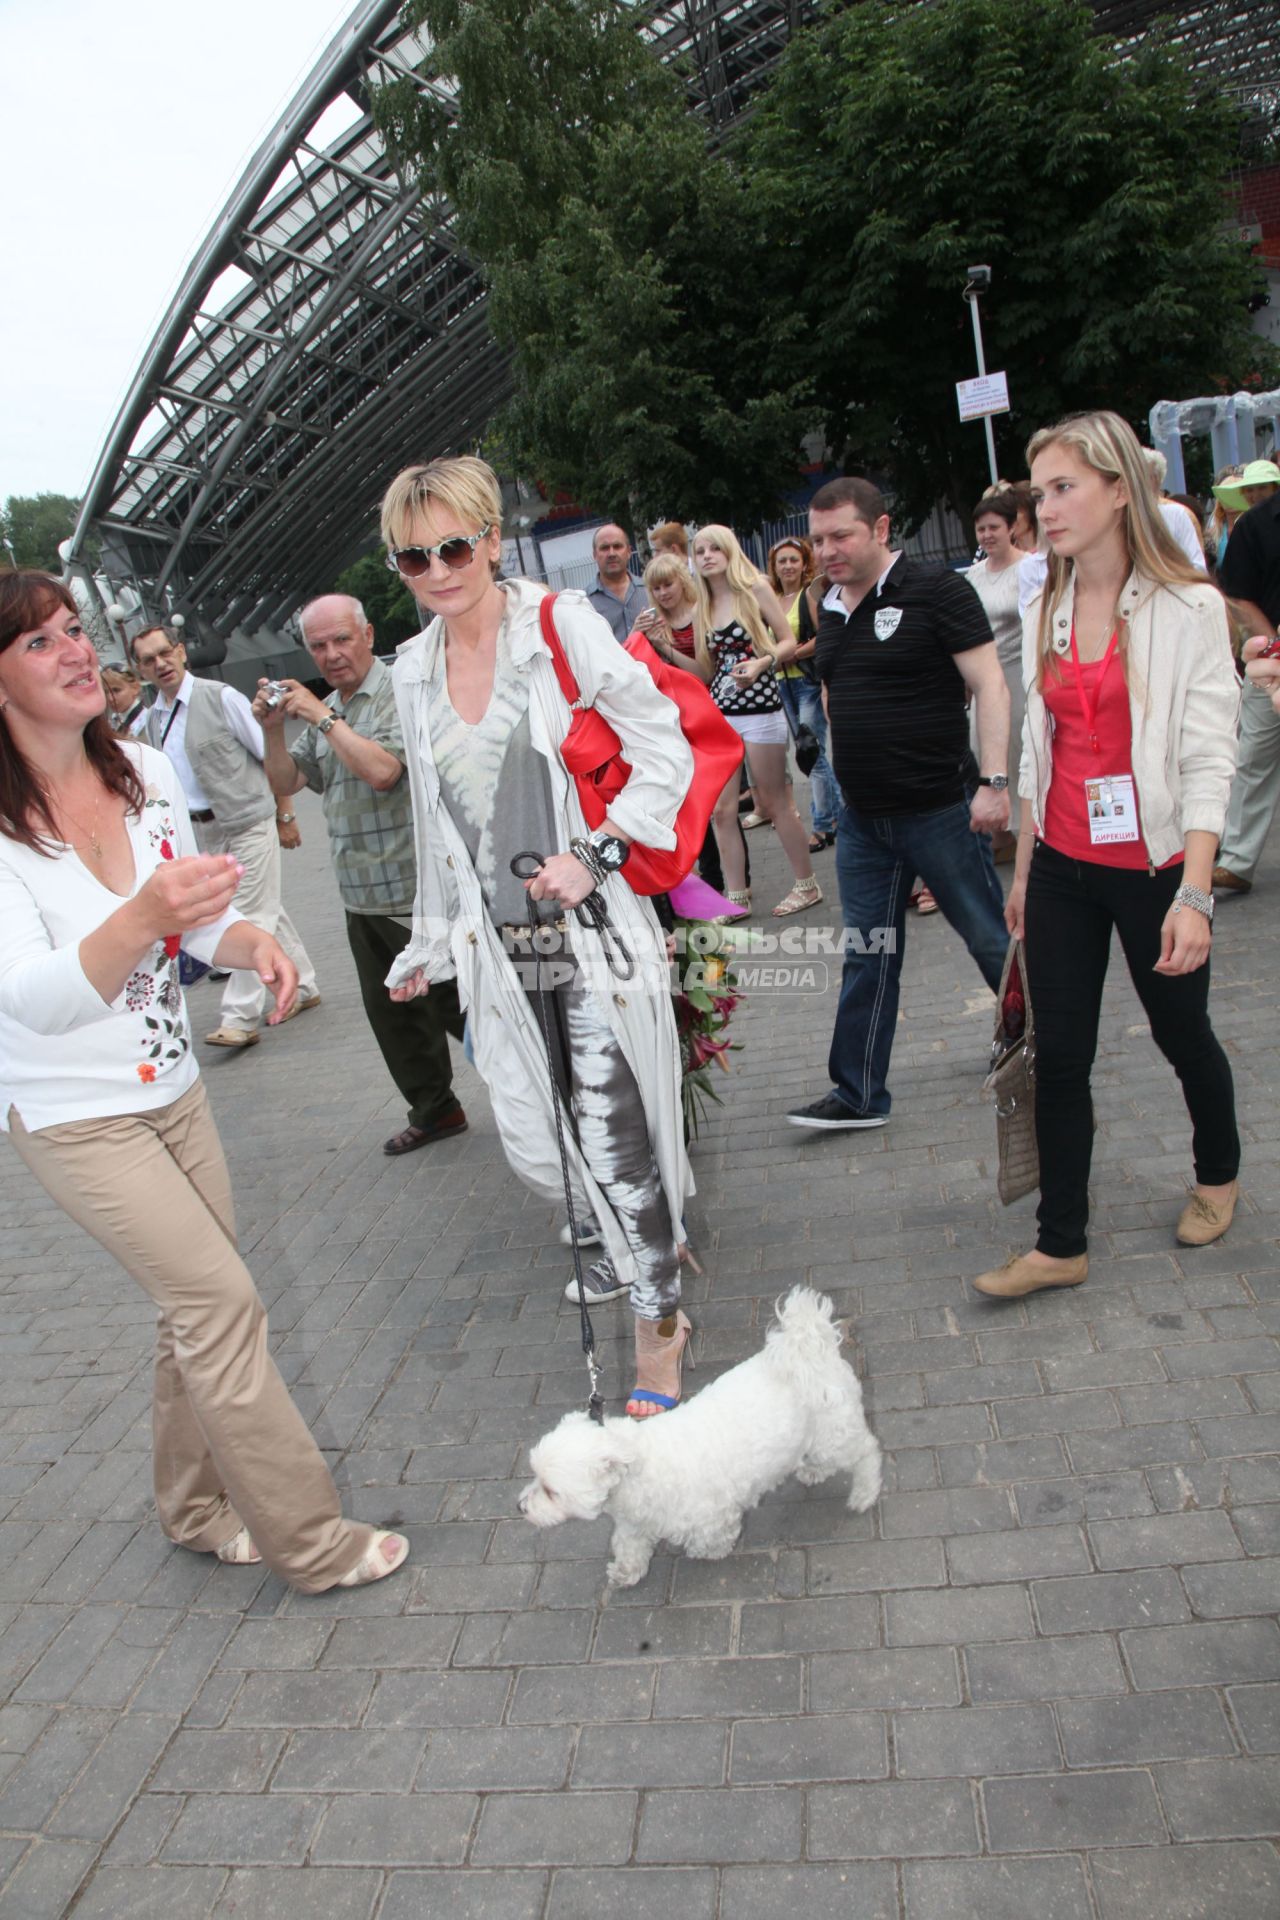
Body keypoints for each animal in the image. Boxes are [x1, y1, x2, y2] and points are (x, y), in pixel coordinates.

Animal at [514, 1282, 875, 1582]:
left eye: (551, 1491)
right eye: (535, 1477)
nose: (521, 1507)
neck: (637, 1466)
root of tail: (811, 1349)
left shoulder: (713, 1514)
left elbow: (712, 1537)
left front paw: (709, 1552)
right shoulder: (634, 1524)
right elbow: (629, 1547)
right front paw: (626, 1572)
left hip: (835, 1435)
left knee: (867, 1453)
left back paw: (865, 1494)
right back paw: (815, 1472)